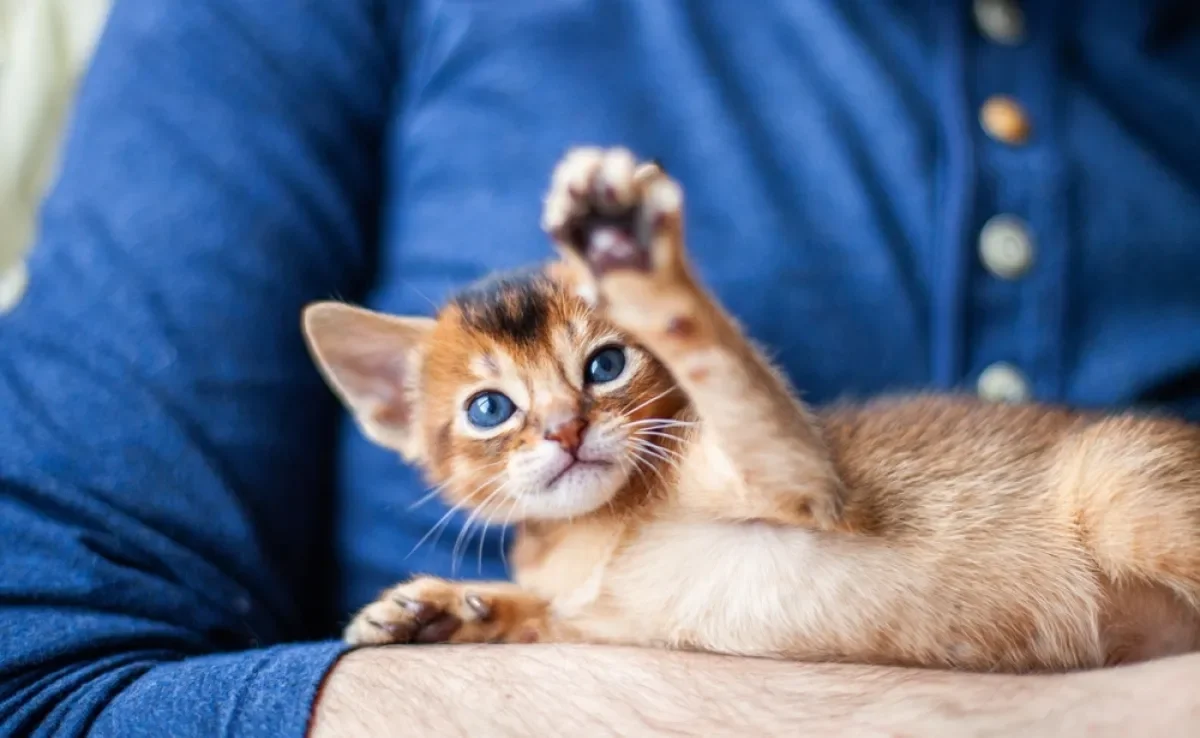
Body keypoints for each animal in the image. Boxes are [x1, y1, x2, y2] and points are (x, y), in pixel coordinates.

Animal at [304, 147, 1200, 672]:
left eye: (605, 365)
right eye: (490, 409)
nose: (566, 429)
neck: (596, 533)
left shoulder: (805, 479)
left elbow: (726, 366)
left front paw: (632, 256)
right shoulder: (598, 623)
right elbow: (547, 617)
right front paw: (447, 608)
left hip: (1124, 488)